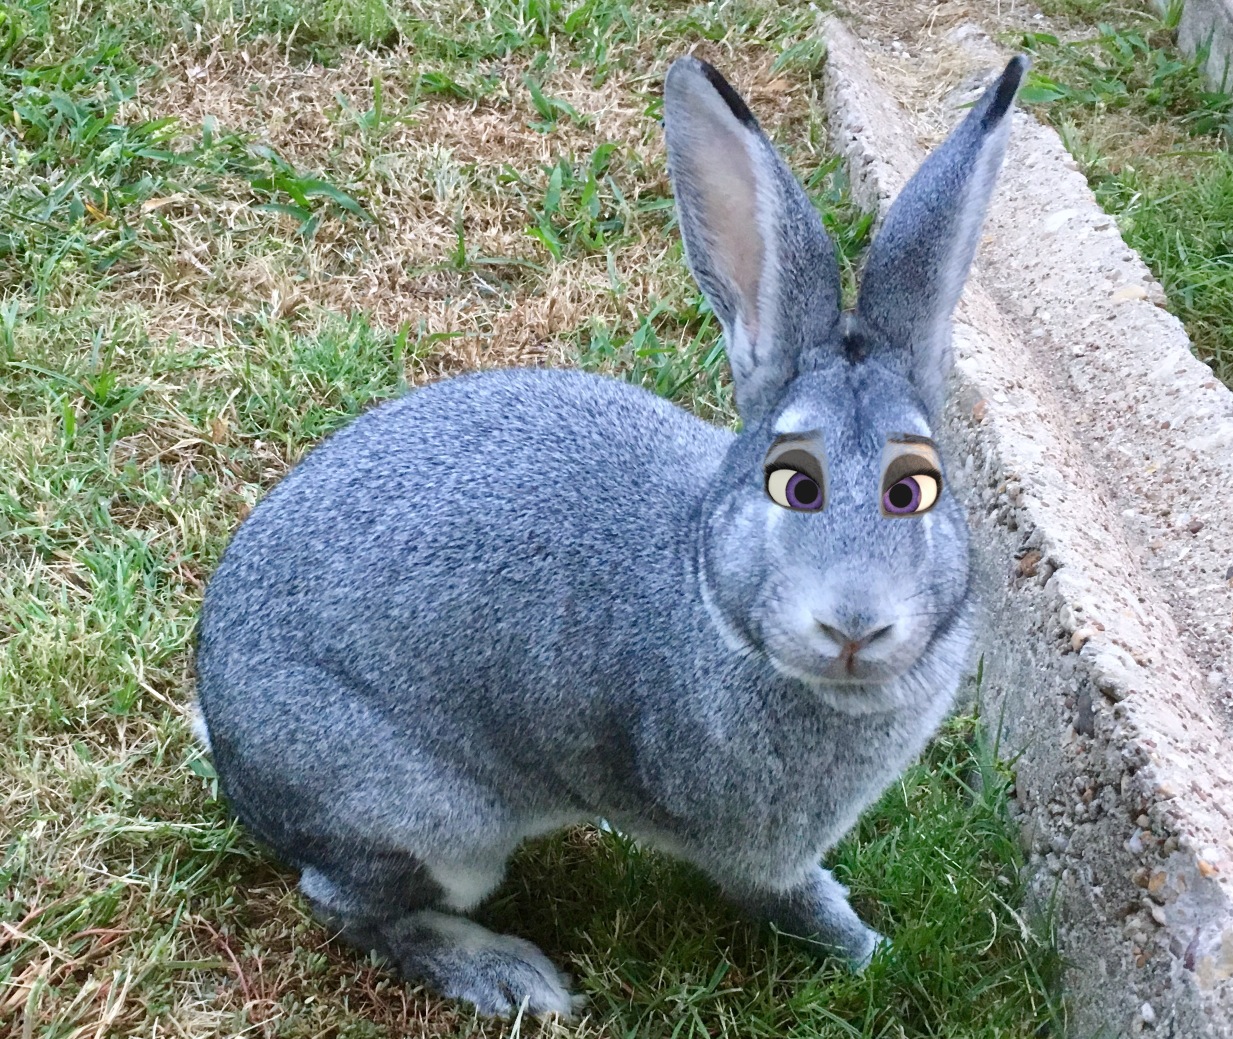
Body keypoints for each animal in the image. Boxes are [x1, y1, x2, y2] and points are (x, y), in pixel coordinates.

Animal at [193, 53, 1028, 1020]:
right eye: (793, 484)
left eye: (915, 488)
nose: (853, 624)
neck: (707, 587)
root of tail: (230, 746)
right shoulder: (756, 851)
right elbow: (795, 902)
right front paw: (868, 951)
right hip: (429, 817)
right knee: (348, 906)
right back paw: (509, 975)